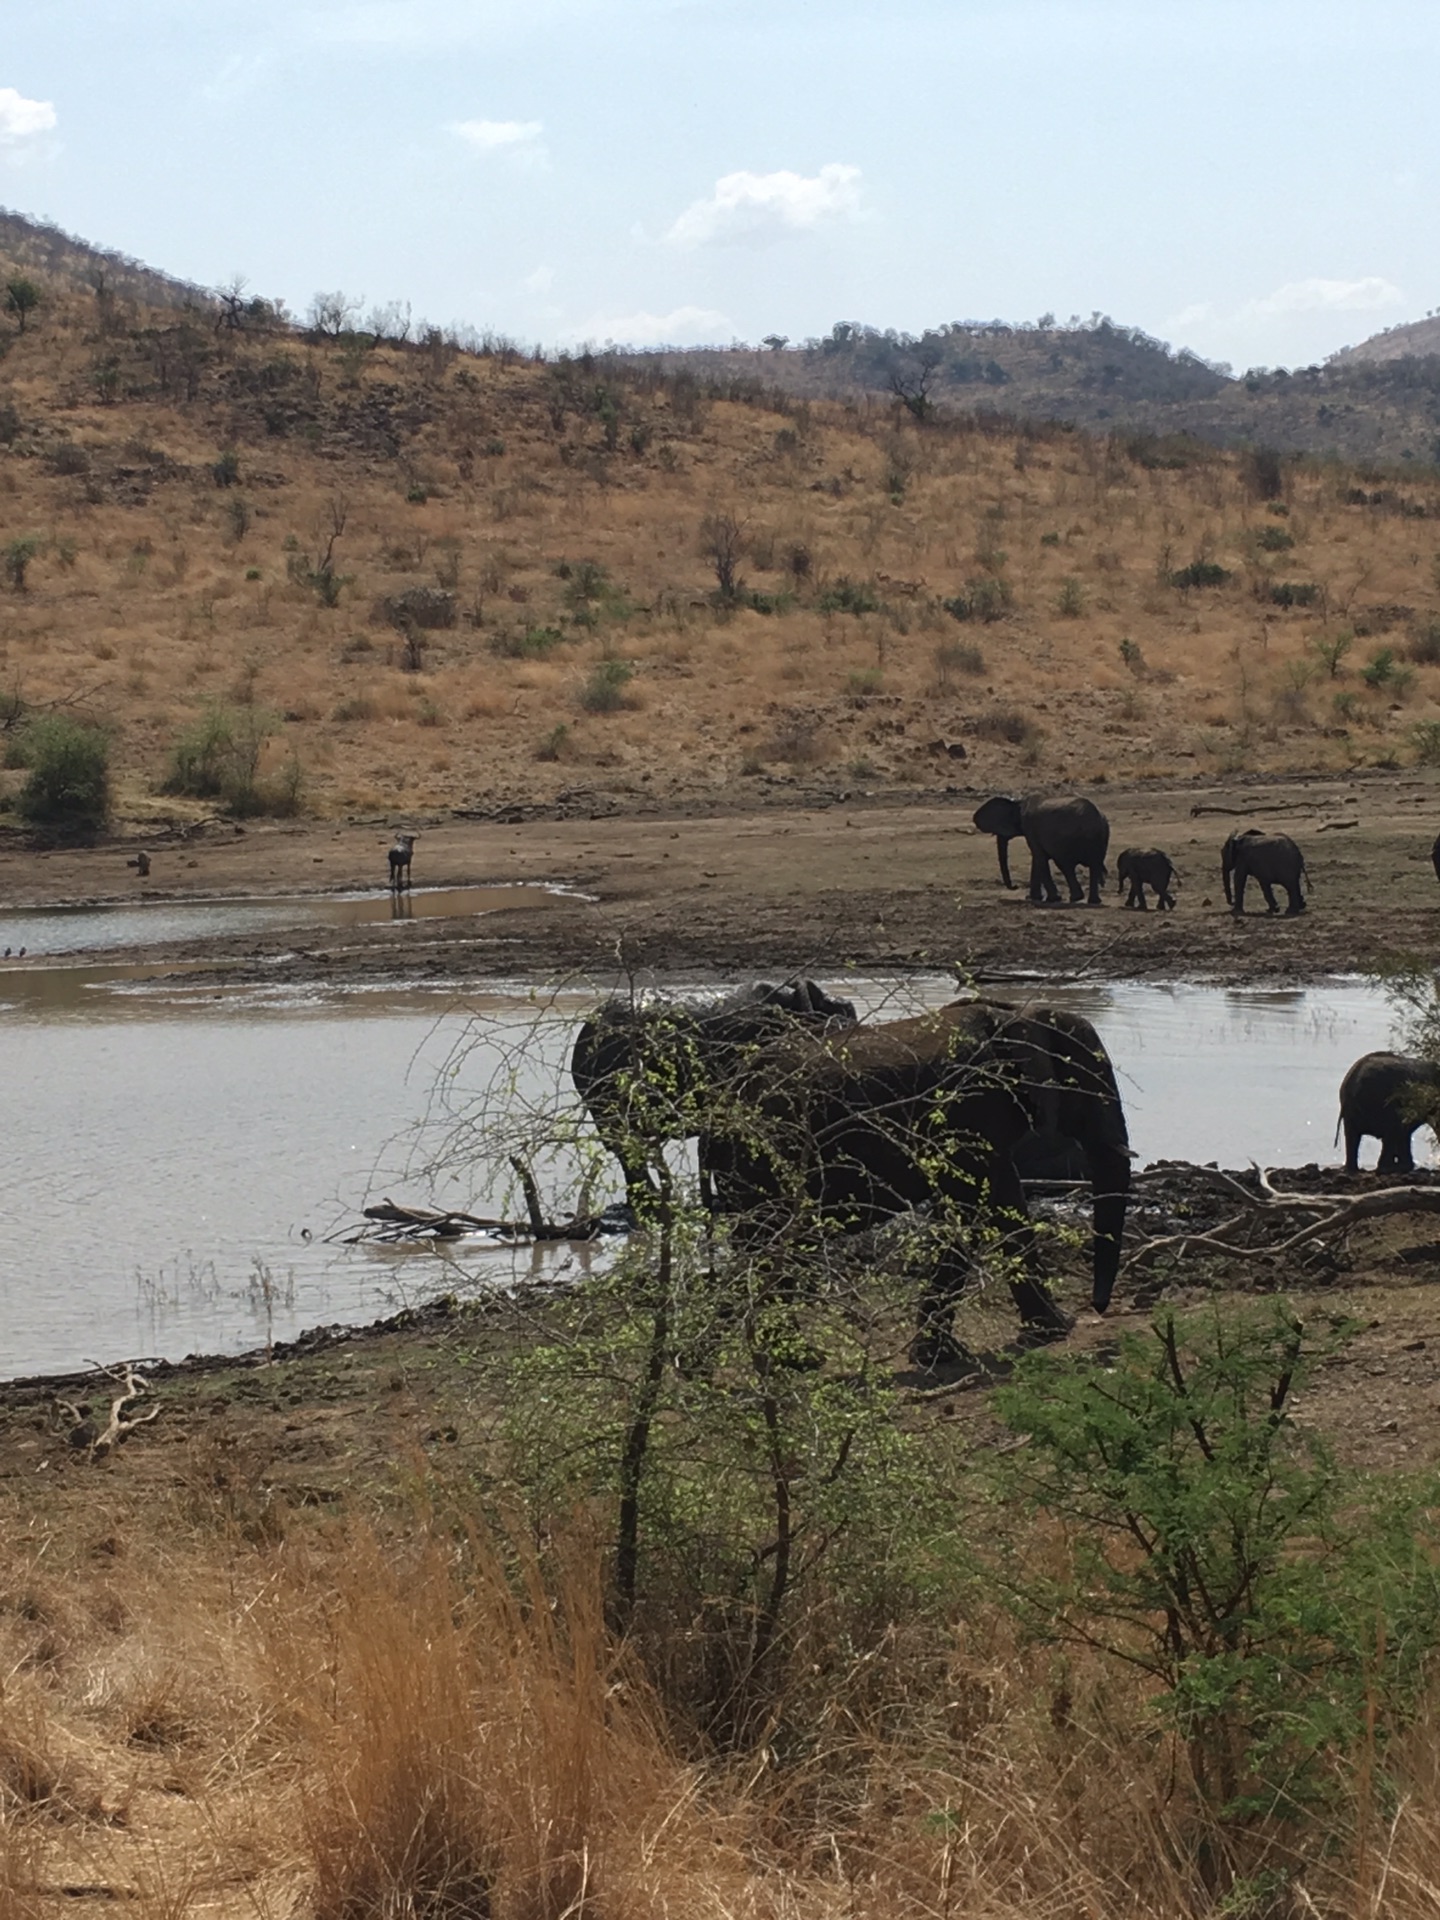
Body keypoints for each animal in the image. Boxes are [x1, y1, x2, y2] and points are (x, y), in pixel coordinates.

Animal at [706, 990, 1136, 1367]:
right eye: (1090, 1084)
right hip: (767, 1157)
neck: (1015, 1014)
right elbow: (974, 1209)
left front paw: (1050, 1331)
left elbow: (997, 1207)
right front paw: (940, 1356)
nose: (1098, 1308)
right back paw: (793, 1361)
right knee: (770, 1245)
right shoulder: (970, 1106)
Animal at [975, 798, 1113, 910]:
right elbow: (1037, 860)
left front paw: (1052, 899)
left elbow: (1039, 858)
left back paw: (1076, 898)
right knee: (1093, 866)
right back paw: (1093, 901)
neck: (1018, 804)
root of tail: (1097, 817)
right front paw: (1033, 898)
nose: (1015, 886)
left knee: (1066, 865)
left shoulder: (1030, 828)